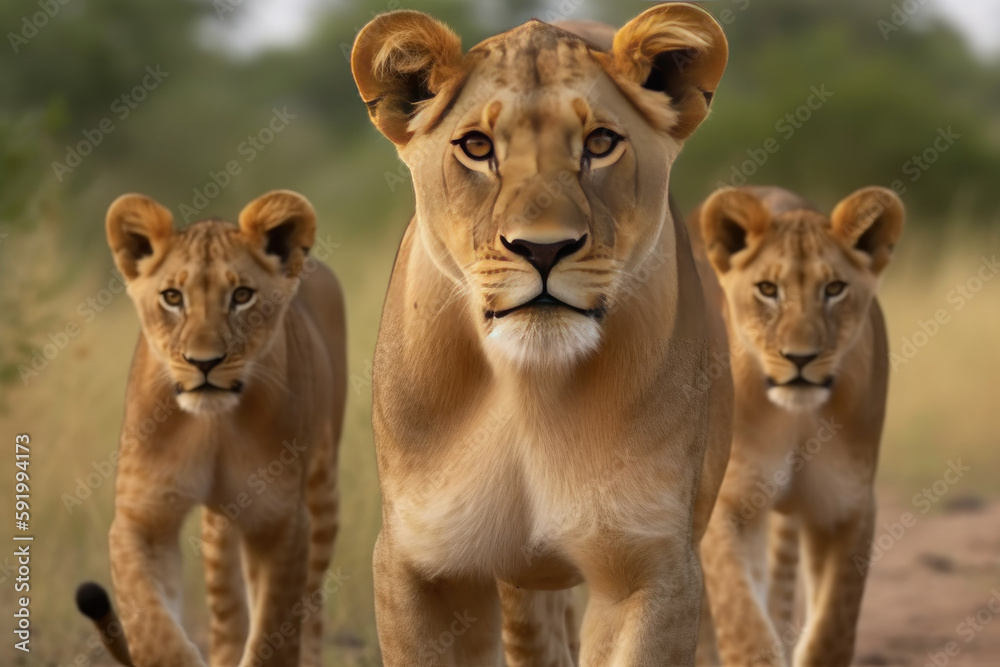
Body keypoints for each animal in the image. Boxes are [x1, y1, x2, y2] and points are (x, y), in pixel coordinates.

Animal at [74, 190, 346, 667]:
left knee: (310, 606)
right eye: (171, 297)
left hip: (321, 492)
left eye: (242, 295)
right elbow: (152, 626)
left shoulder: (281, 519)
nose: (204, 362)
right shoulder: (141, 515)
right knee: (228, 616)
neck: (213, 425)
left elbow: (274, 633)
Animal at [350, 5, 732, 665]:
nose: (543, 248)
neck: (528, 391)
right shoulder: (416, 565)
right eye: (477, 147)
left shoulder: (652, 564)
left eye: (600, 143)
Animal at [691, 185, 904, 665]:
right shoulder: (725, 503)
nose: (800, 358)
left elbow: (832, 630)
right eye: (768, 290)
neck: (796, 419)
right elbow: (743, 626)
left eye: (835, 288)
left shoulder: (847, 506)